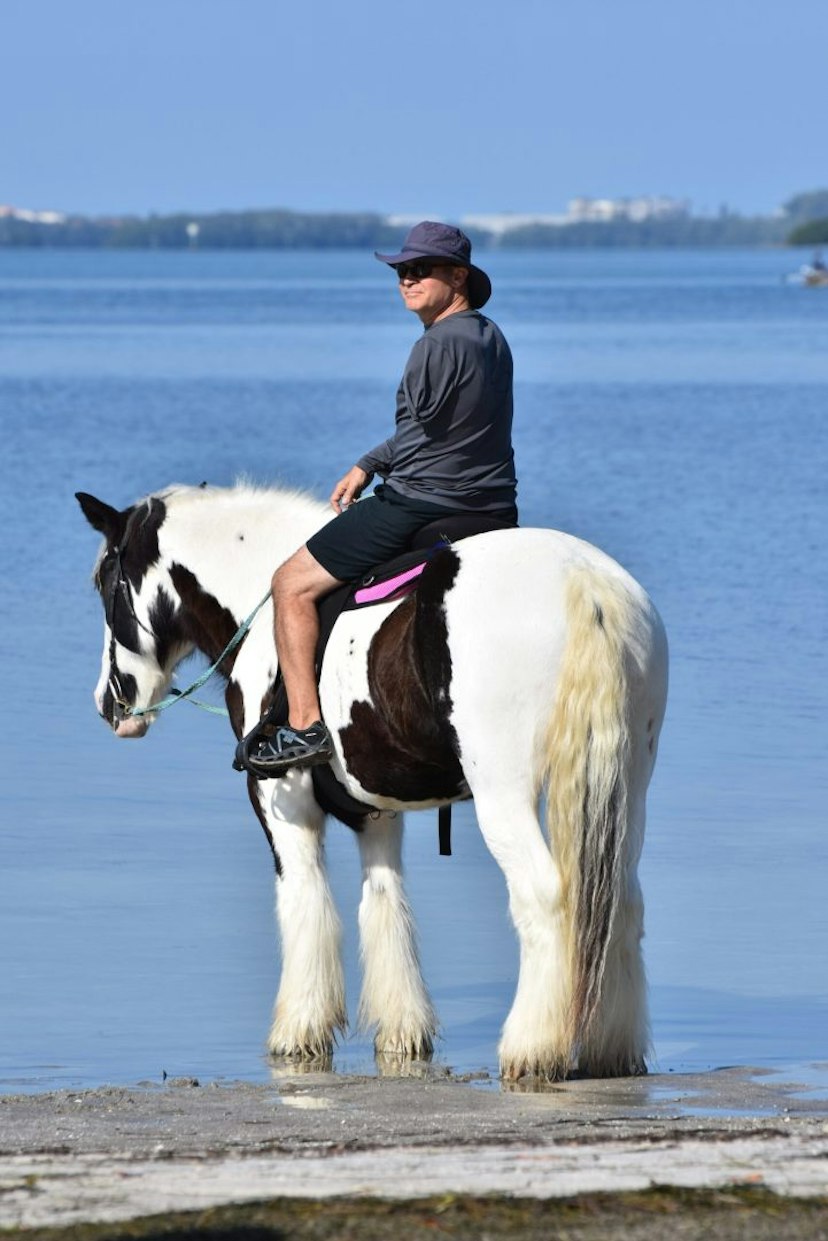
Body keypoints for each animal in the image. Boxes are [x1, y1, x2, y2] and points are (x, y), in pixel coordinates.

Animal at [76, 481, 668, 1081]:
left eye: (106, 584)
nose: (108, 703)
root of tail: (584, 584)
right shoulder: (376, 814)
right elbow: (384, 904)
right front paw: (402, 1034)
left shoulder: (281, 803)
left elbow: (306, 903)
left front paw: (298, 1034)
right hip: (628, 787)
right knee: (624, 902)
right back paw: (613, 1048)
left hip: (505, 796)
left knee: (545, 897)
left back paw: (531, 1048)